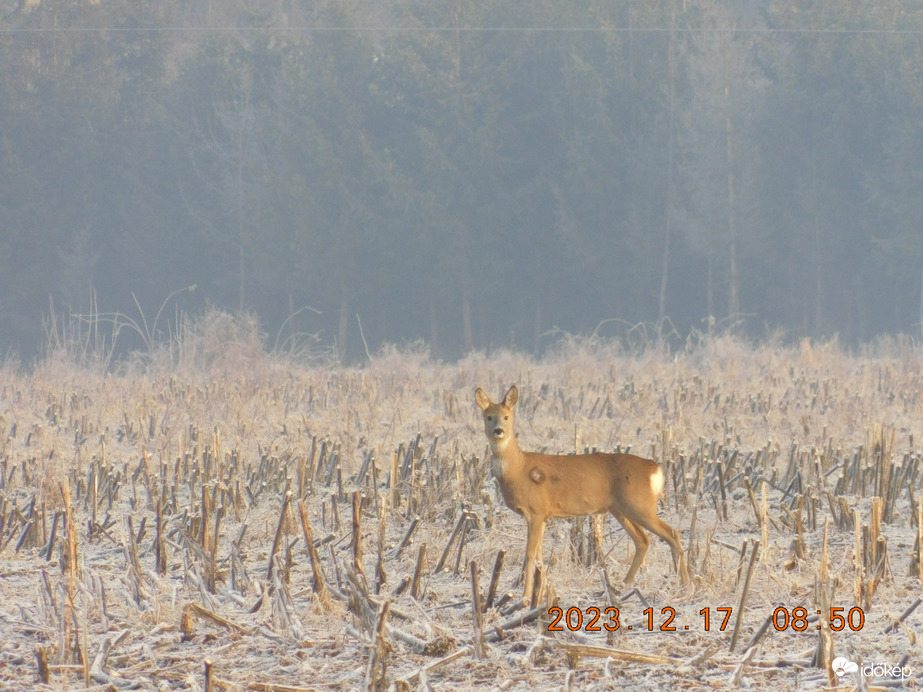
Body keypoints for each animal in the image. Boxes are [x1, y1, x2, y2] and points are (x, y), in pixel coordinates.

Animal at [480, 386, 688, 604]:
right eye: (488, 417)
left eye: (506, 416)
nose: (498, 431)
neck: (519, 469)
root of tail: (655, 469)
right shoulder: (542, 516)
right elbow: (539, 555)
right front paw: (542, 591)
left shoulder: (536, 510)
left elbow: (529, 554)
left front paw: (526, 598)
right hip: (621, 509)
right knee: (643, 541)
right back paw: (622, 587)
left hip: (640, 506)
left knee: (671, 533)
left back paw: (685, 586)